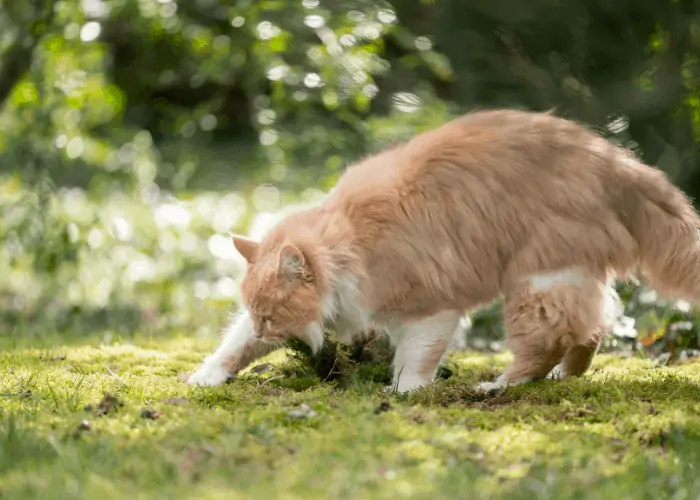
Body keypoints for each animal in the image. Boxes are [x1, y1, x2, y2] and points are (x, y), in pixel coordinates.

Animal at [187, 110, 700, 394]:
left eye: (271, 316)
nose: (262, 327)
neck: (347, 243)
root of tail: (614, 158)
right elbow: (234, 346)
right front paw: (206, 376)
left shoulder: (432, 307)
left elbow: (416, 359)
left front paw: (406, 391)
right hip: (566, 276)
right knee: (592, 330)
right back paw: (561, 378)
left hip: (535, 280)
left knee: (549, 341)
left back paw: (500, 385)